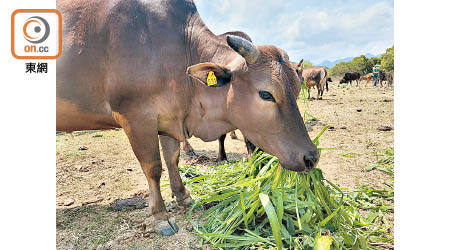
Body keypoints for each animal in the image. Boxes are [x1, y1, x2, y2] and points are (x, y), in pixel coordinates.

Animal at [56, 0, 318, 236]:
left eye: (298, 89)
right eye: (266, 94)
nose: (311, 158)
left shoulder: (169, 120)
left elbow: (172, 159)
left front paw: (183, 196)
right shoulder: (135, 117)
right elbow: (153, 167)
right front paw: (161, 217)